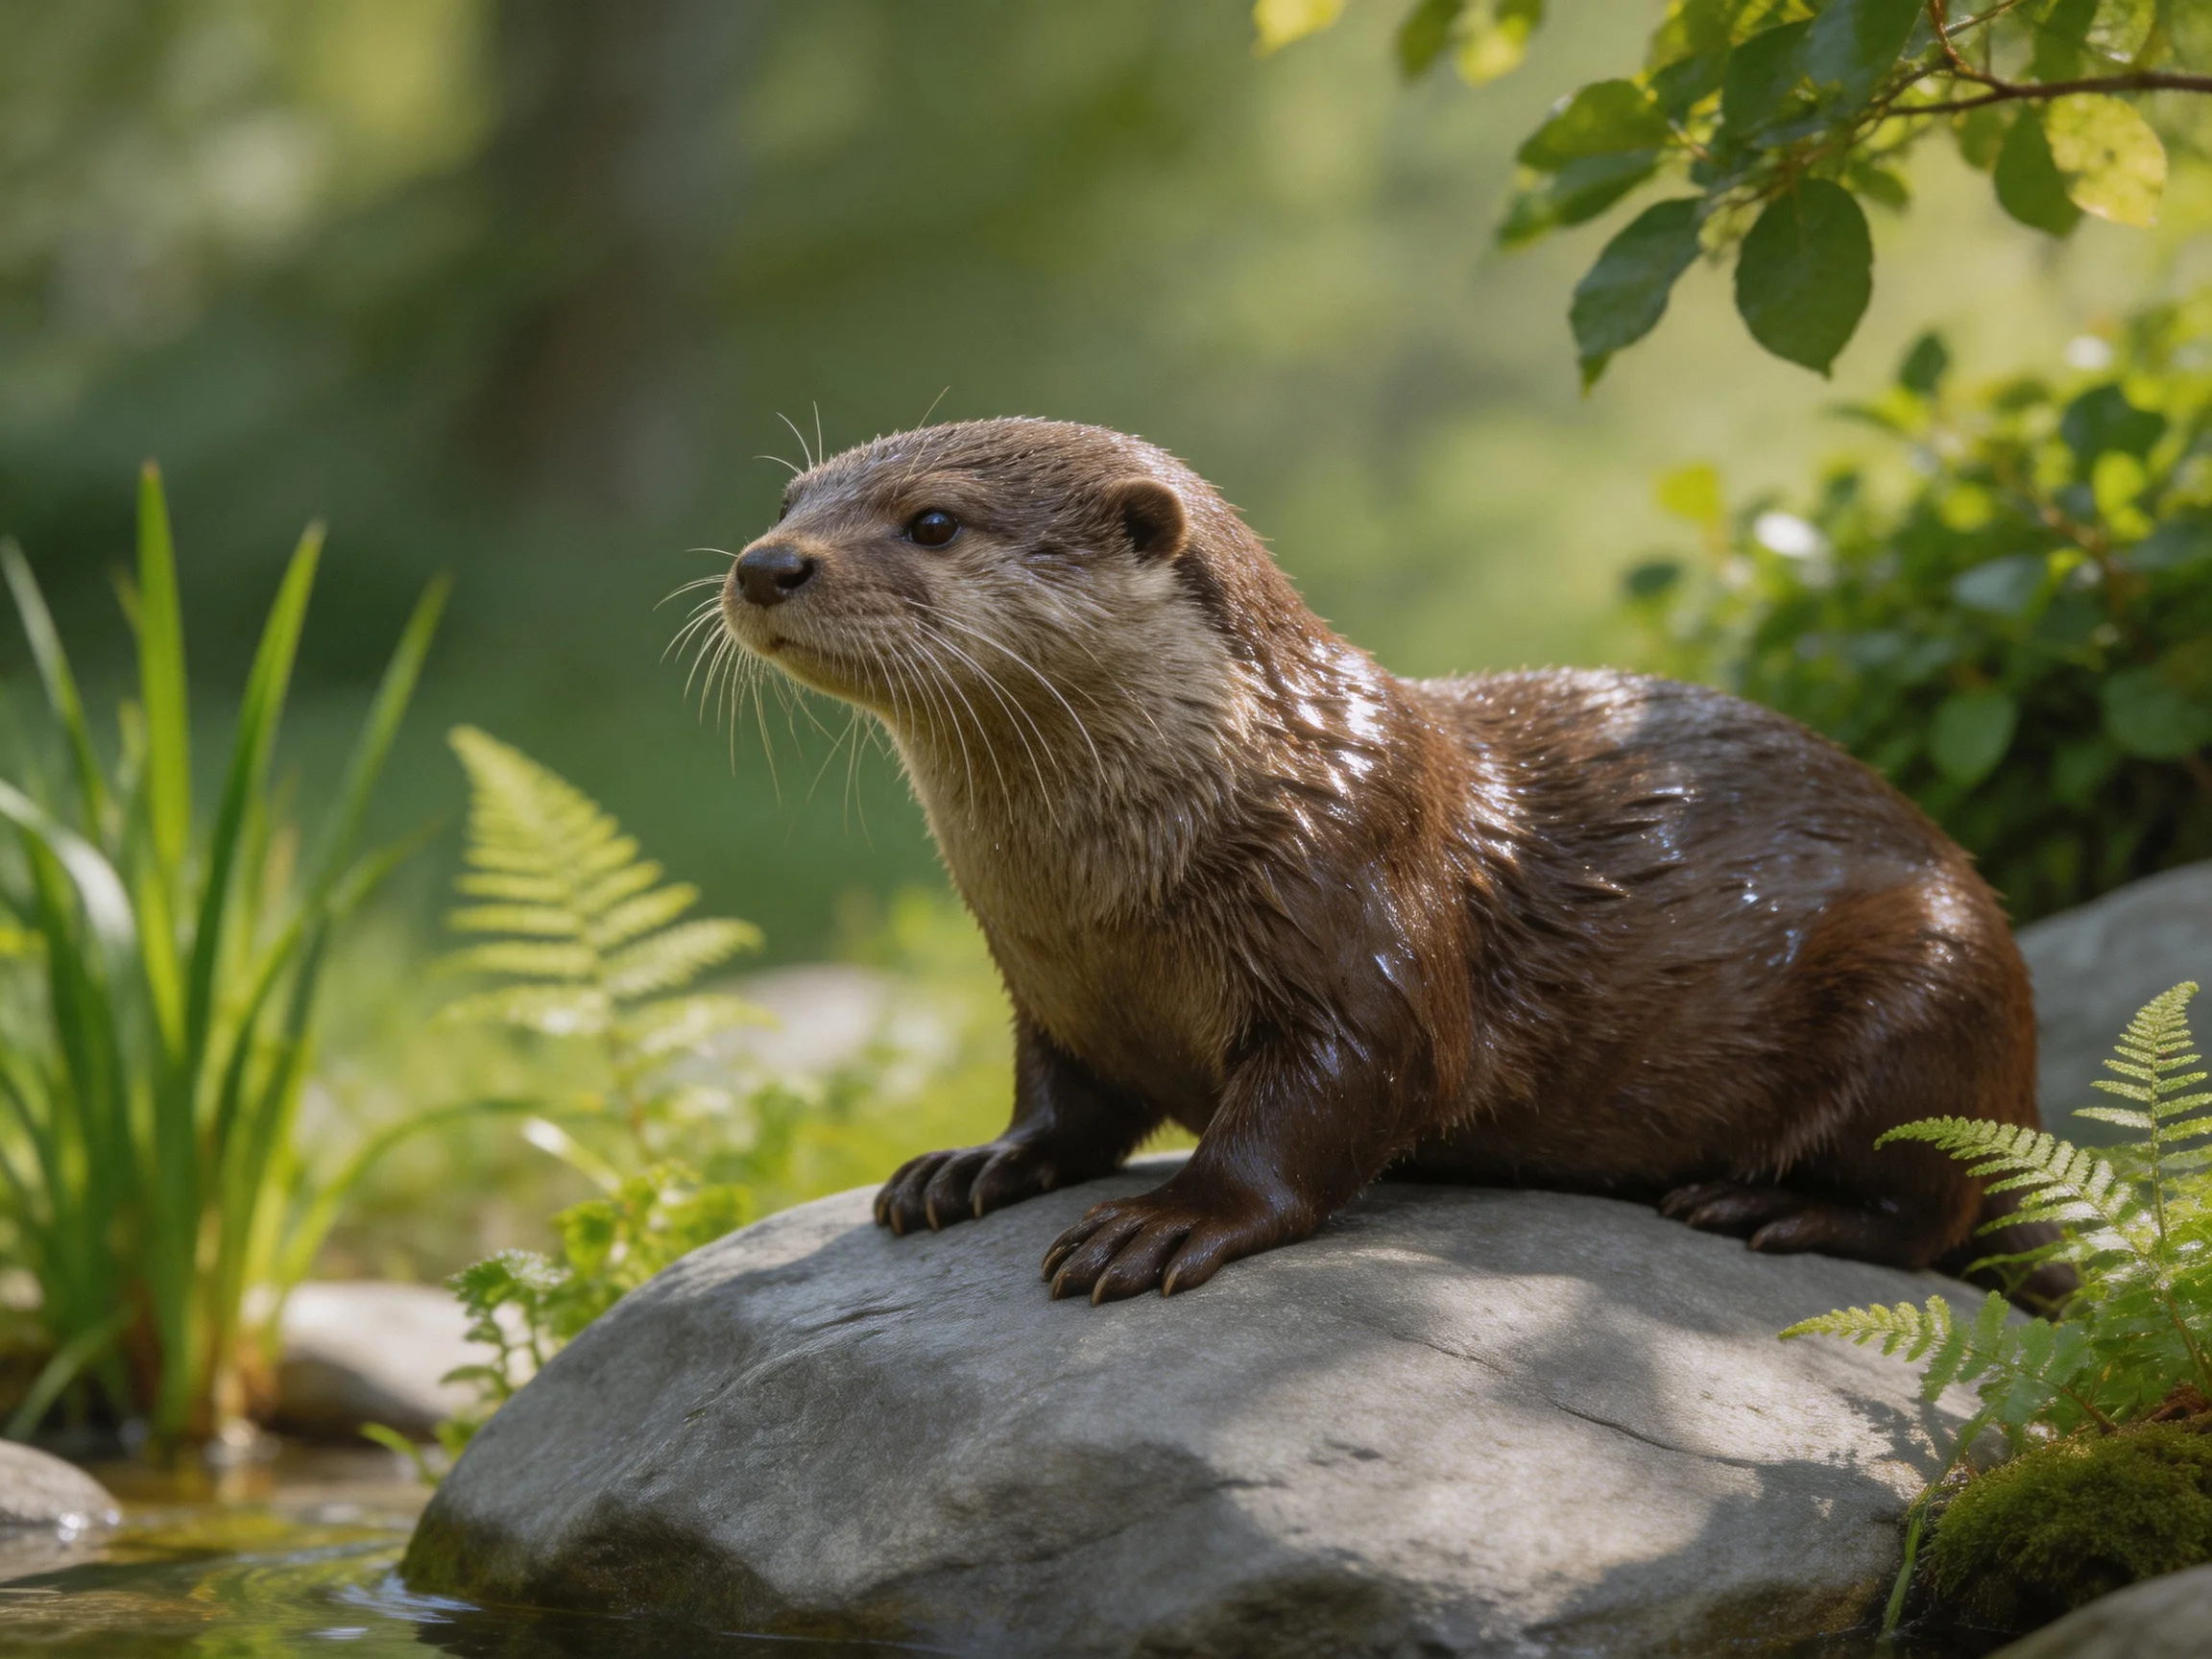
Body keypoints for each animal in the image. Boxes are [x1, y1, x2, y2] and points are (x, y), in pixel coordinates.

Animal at [717, 417, 2052, 1306]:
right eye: (789, 496)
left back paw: (1766, 1203)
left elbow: (1335, 1098)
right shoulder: (1048, 994)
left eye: (934, 522)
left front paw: (1164, 1221)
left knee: (1934, 1207)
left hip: (1928, 973)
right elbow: (1062, 1105)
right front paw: (973, 1163)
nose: (765, 561)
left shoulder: (1351, 914)